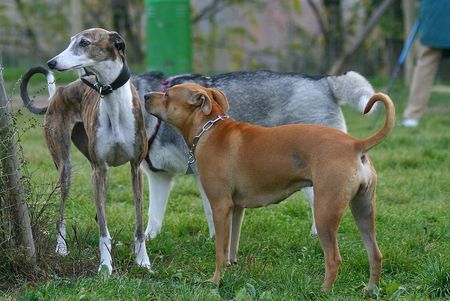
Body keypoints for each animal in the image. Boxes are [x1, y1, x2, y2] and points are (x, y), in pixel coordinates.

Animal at [134, 70, 376, 239]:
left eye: (167, 96)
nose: (145, 97)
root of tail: (324, 81)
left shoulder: (202, 176)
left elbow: (212, 214)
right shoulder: (159, 177)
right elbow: (153, 215)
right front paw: (149, 239)